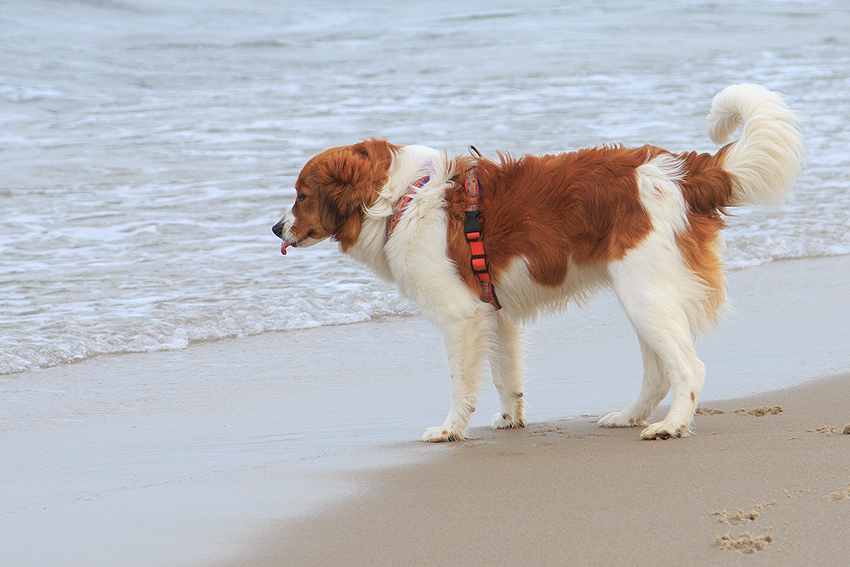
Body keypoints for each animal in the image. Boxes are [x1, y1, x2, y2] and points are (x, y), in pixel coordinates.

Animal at [270, 84, 800, 442]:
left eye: (300, 196)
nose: (276, 229)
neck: (402, 199)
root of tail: (682, 171)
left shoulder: (460, 317)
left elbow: (461, 384)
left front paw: (450, 429)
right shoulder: (493, 312)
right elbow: (507, 377)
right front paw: (510, 419)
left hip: (644, 294)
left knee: (689, 369)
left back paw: (669, 426)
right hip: (646, 296)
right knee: (659, 370)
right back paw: (629, 416)